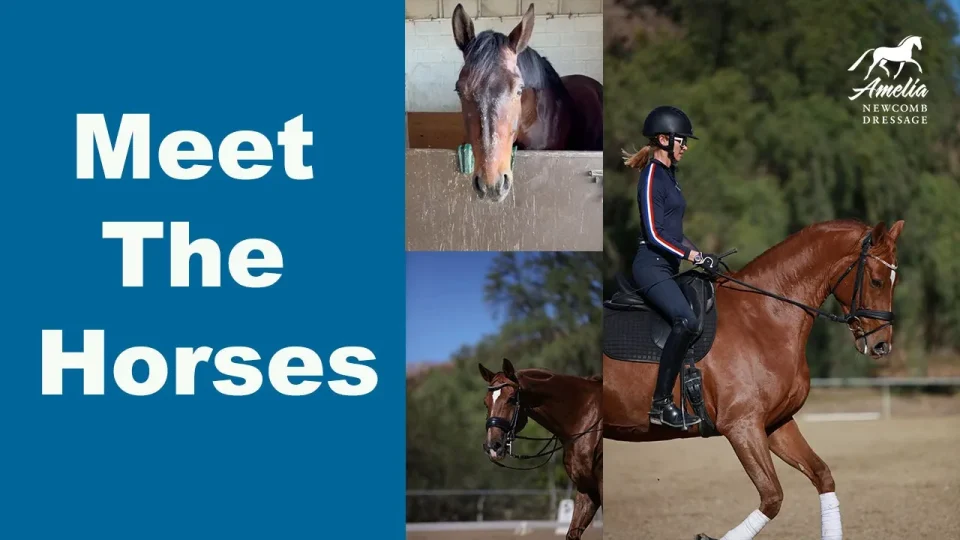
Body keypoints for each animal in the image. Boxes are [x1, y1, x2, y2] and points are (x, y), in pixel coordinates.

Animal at [479, 358, 603, 540]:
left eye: (511, 399)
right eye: (486, 402)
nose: (493, 446)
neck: (584, 417)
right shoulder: (587, 489)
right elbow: (572, 534)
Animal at [602, 218, 904, 539]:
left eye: (893, 281)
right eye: (876, 280)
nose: (881, 346)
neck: (764, 316)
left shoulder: (775, 423)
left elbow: (822, 475)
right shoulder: (741, 426)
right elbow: (772, 497)